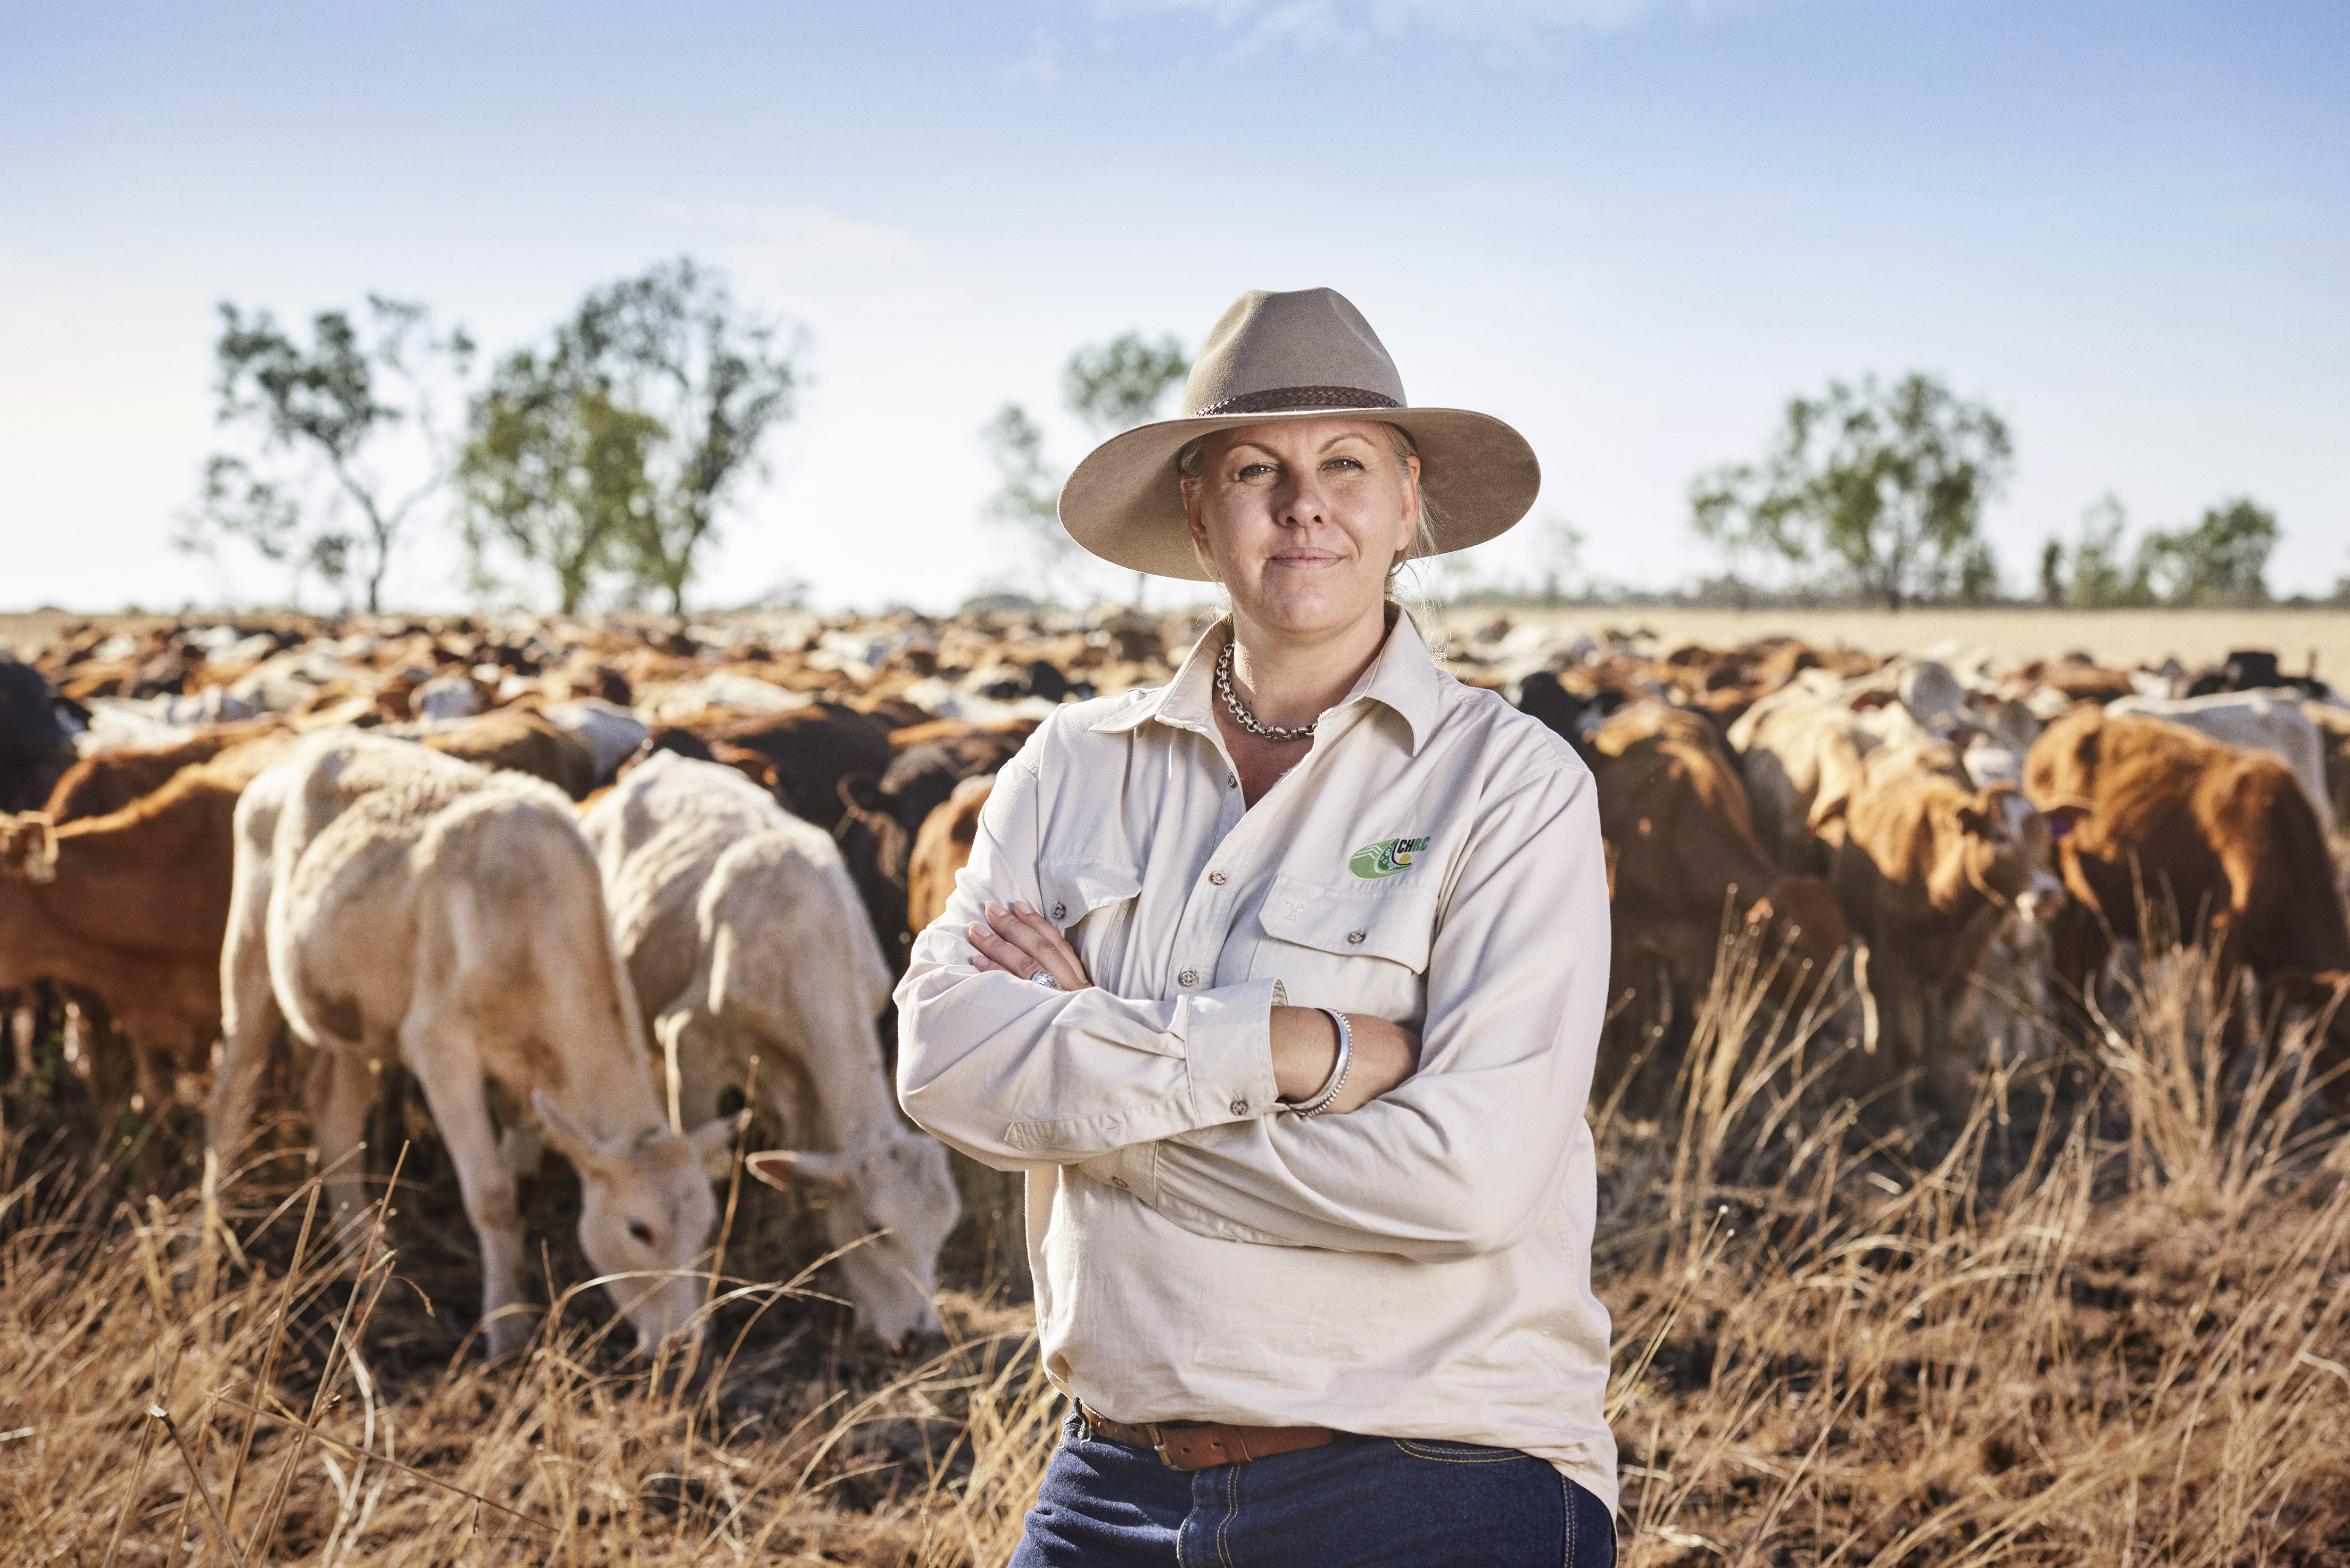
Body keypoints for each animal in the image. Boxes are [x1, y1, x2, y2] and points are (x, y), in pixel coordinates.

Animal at [209, 738, 733, 1363]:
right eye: (640, 1228)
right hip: (247, 959)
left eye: (706, 1227)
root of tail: (300, 752)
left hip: (353, 1018)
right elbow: (494, 1193)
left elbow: (522, 1188)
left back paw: (369, 1271)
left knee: (334, 1116)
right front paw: (507, 1332)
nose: (685, 1343)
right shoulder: (439, 1047)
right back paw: (199, 1257)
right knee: (230, 1105)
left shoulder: (531, 1077)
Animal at [2021, 710, 2350, 1067]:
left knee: (2088, 988)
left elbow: (2269, 1041)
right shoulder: (2223, 938)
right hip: (2064, 904)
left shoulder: (2273, 974)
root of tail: (2072, 719)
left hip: (2101, 915)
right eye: (2336, 1037)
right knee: (2065, 985)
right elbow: (2229, 1037)